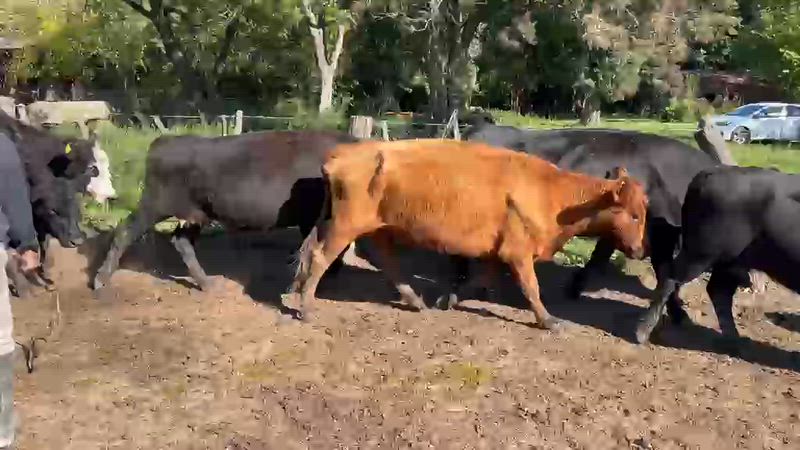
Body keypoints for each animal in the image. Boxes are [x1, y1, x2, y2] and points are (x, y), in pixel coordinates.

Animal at [92, 130, 358, 294]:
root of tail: (164, 141)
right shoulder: (312, 220)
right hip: (155, 205)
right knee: (125, 231)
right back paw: (100, 280)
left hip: (194, 214)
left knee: (181, 242)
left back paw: (207, 284)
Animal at [288, 139, 649, 329]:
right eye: (633, 214)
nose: (640, 250)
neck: (553, 192)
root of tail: (343, 154)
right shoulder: (518, 253)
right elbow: (531, 288)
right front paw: (548, 320)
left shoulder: (499, 252)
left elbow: (481, 280)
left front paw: (448, 299)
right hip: (345, 227)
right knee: (320, 257)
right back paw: (306, 309)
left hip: (378, 228)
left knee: (387, 263)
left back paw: (416, 302)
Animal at [635, 165, 800, 345]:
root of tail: (712, 171)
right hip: (701, 252)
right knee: (671, 276)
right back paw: (642, 332)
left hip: (729, 260)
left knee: (718, 291)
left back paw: (733, 342)